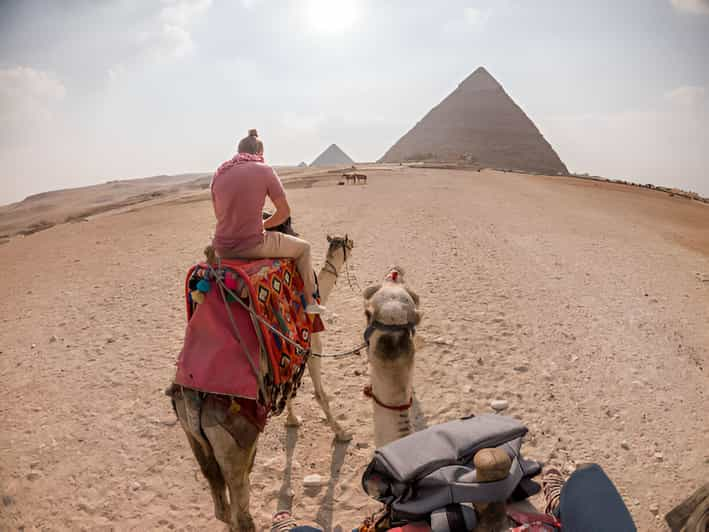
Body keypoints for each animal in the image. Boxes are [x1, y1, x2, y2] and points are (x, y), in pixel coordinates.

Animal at [167, 235, 354, 528]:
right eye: (345, 243)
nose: (353, 243)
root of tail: (195, 403)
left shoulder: (290, 359)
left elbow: (289, 391)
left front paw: (292, 420)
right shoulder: (311, 347)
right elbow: (320, 394)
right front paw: (342, 432)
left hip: (192, 435)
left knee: (221, 508)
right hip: (236, 445)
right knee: (241, 512)